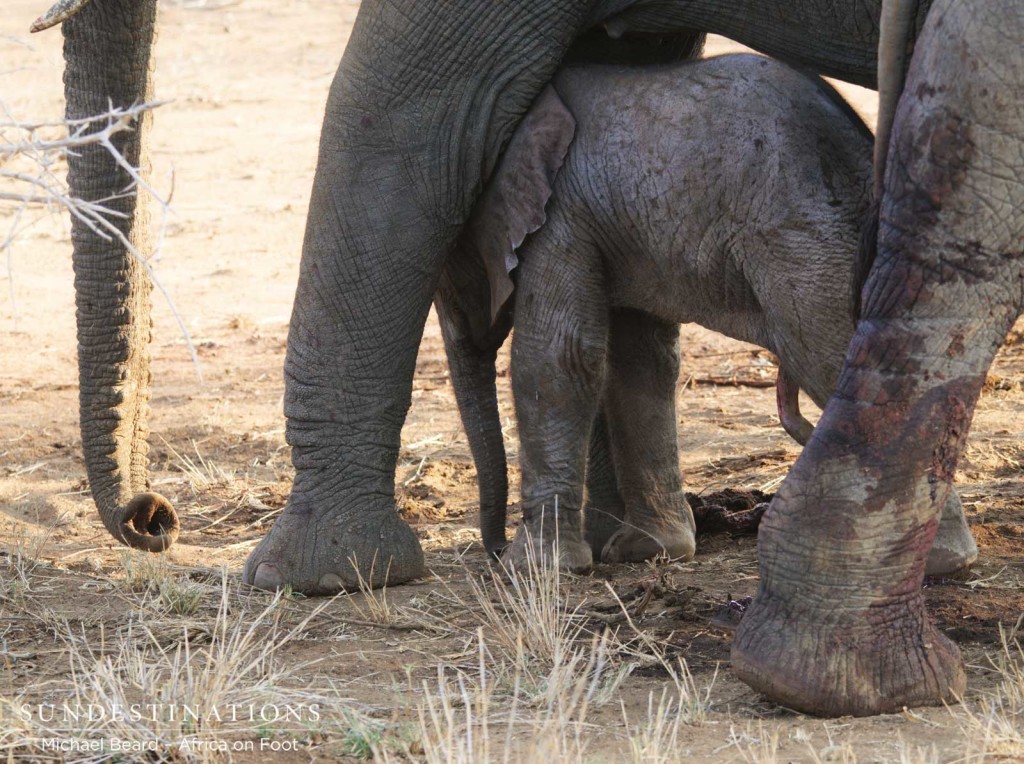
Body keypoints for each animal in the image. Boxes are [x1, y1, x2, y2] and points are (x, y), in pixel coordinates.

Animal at [454, 53, 974, 573]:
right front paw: (649, 551)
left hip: (804, 243)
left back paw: (926, 562)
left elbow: (558, 357)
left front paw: (534, 567)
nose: (493, 549)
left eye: (454, 263)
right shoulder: (616, 228)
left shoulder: (561, 217)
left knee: (828, 356)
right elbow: (638, 361)